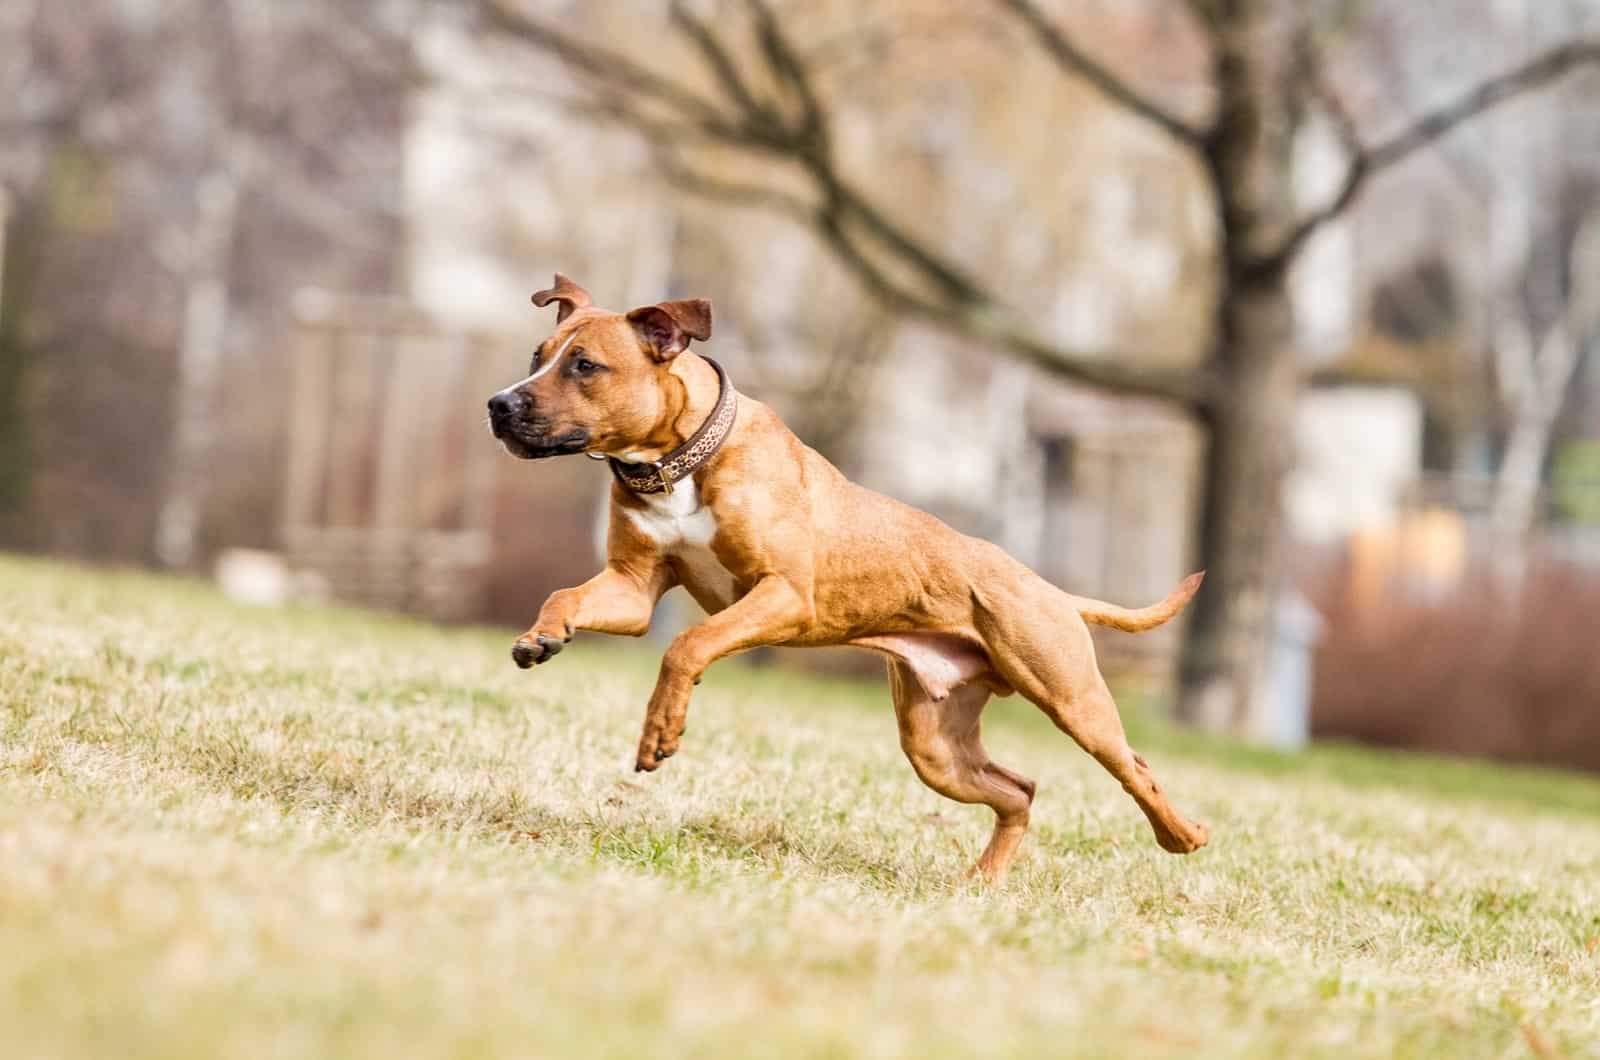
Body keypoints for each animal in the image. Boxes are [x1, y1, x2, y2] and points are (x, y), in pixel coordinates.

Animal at [492, 275, 1203, 890]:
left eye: (586, 367)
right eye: (538, 357)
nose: (498, 404)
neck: (678, 460)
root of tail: (1053, 590)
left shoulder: (782, 594)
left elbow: (687, 645)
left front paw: (661, 731)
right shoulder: (632, 587)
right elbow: (567, 596)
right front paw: (541, 637)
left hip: (1073, 700)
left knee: (1135, 768)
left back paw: (1183, 835)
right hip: (935, 746)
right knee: (1019, 791)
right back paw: (982, 881)